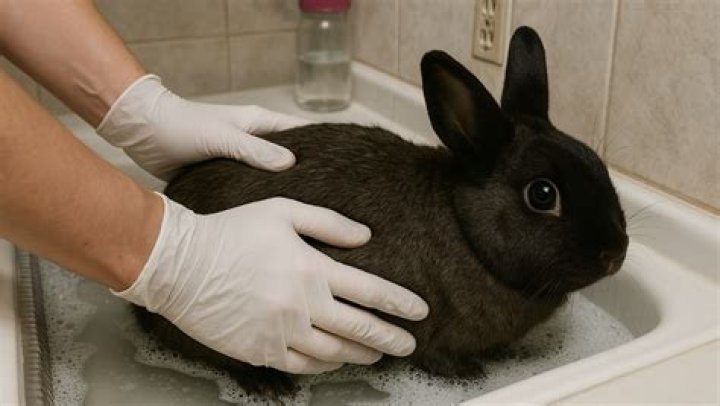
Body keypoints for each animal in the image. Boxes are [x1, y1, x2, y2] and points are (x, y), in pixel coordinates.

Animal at [133, 26, 628, 397]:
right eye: (542, 195)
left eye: (597, 162)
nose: (616, 253)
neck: (466, 230)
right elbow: (438, 357)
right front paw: (472, 374)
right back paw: (270, 385)